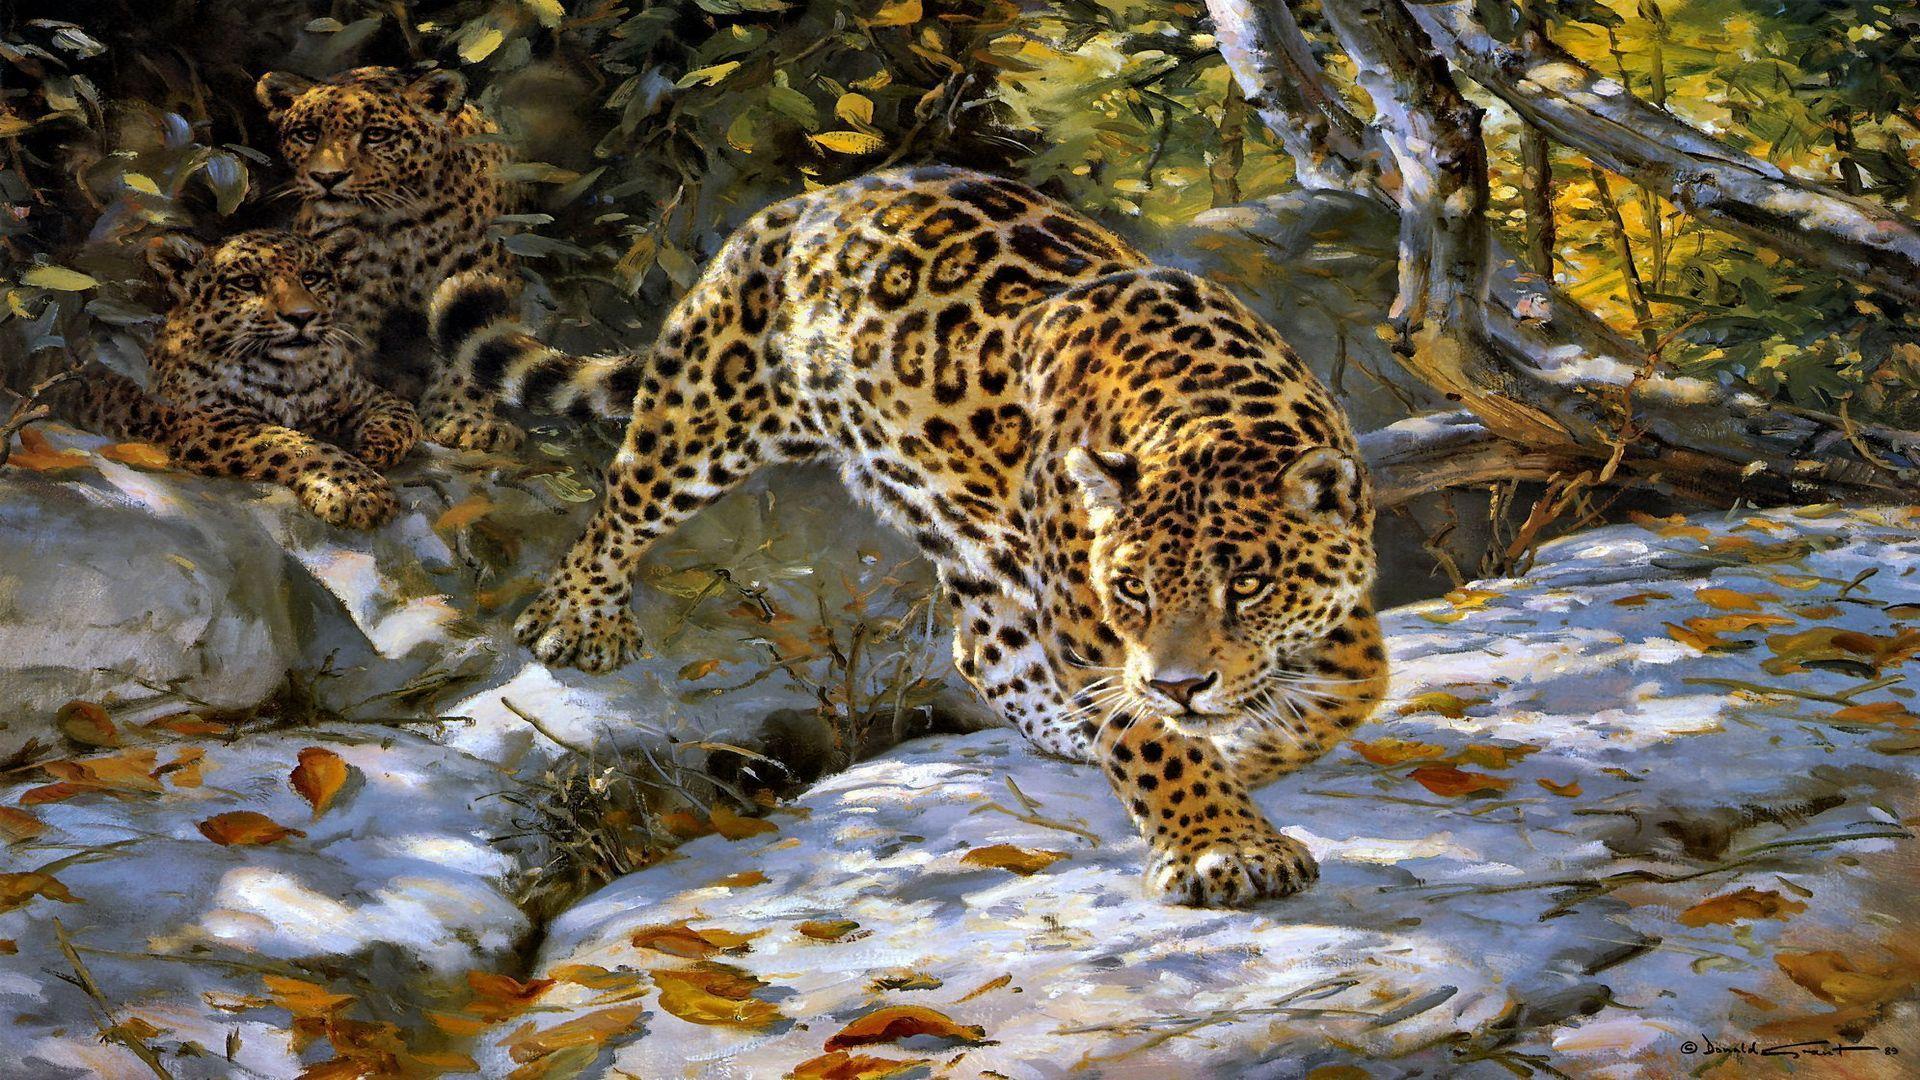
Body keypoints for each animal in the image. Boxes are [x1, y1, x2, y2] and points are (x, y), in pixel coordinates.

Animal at [59, 230, 422, 529]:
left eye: (311, 278)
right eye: (246, 282)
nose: (302, 317)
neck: (291, 374)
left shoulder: (361, 392)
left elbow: (404, 413)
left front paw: (372, 448)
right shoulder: (208, 425)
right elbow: (294, 442)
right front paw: (358, 491)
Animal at [255, 64, 522, 452]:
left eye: (376, 135)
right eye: (308, 134)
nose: (326, 177)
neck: (399, 221)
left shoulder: (478, 270)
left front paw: (463, 420)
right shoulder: (345, 283)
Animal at [429, 167, 1388, 907]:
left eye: (1249, 584)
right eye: (1132, 589)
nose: (1182, 684)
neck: (1210, 411)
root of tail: (803, 203)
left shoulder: (1341, 619)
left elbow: (1349, 695)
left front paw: (1243, 753)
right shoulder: (1092, 630)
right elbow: (1156, 741)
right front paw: (1222, 844)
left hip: (956, 524)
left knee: (983, 648)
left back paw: (1070, 726)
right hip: (705, 415)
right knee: (623, 501)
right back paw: (576, 620)